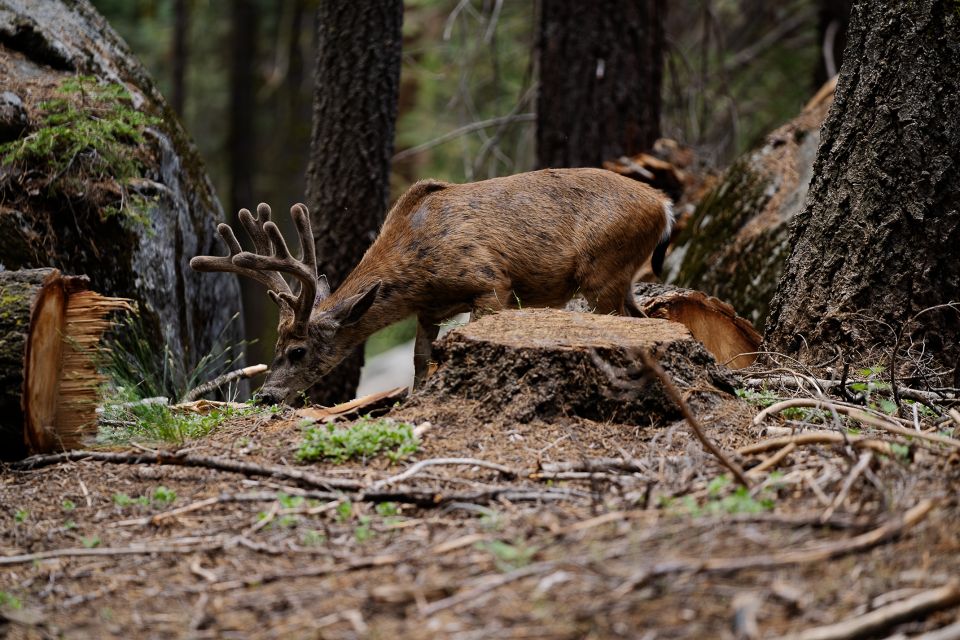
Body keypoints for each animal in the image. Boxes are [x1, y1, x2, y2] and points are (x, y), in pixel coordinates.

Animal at [191, 168, 676, 402]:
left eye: (297, 351)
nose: (267, 396)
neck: (417, 265)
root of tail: (664, 204)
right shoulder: (429, 309)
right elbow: (421, 359)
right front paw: (417, 398)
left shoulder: (491, 281)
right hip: (620, 277)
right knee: (649, 318)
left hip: (603, 270)